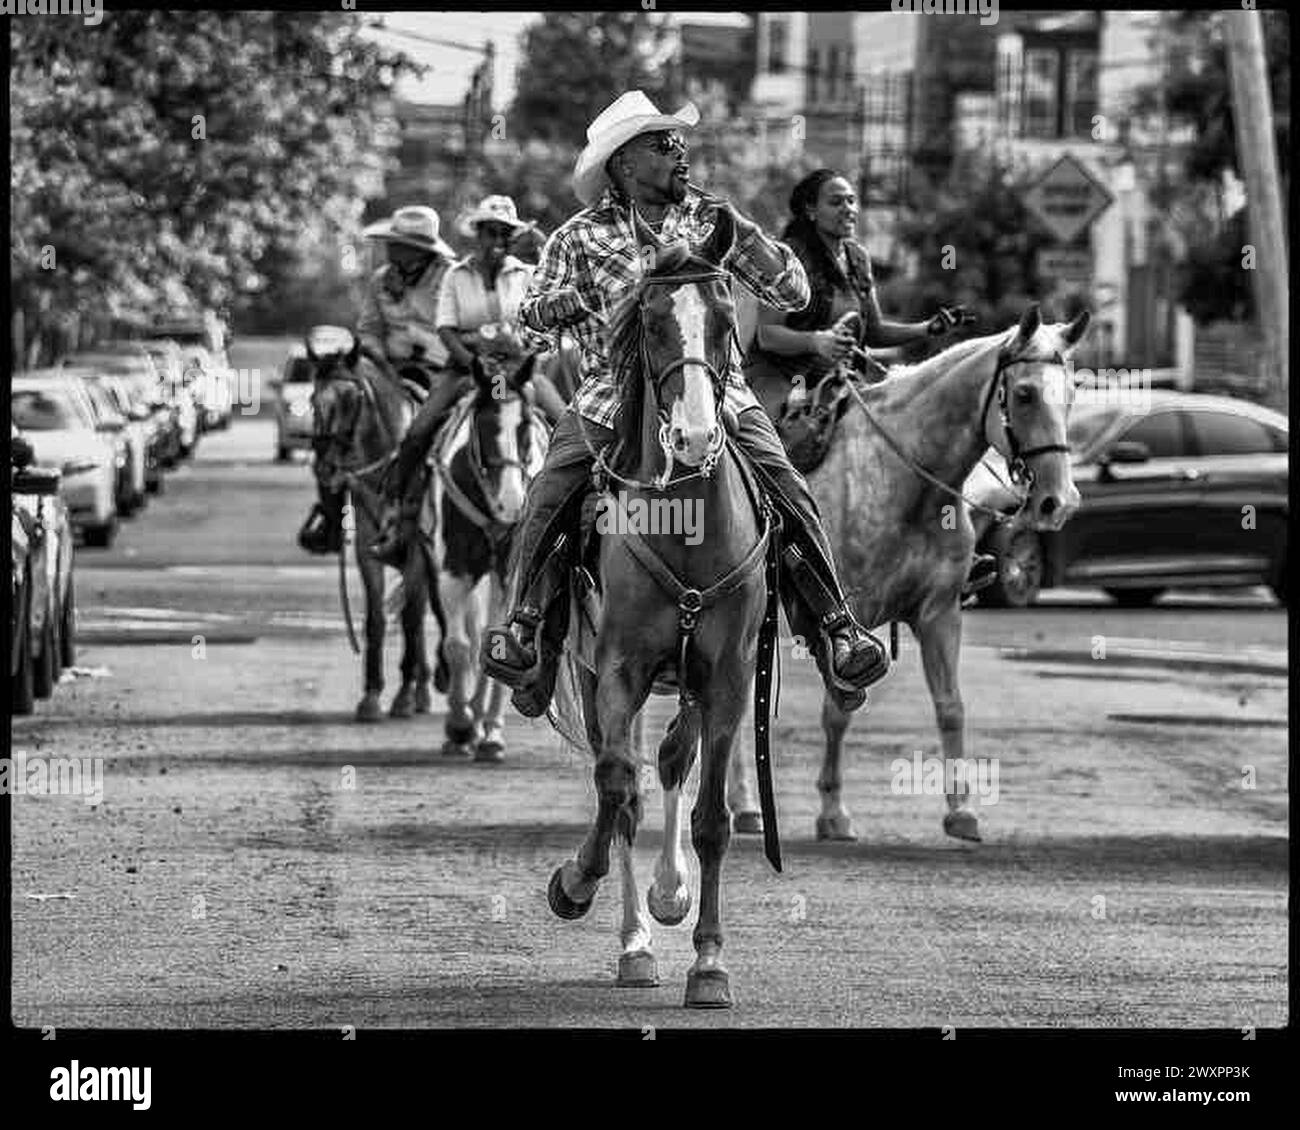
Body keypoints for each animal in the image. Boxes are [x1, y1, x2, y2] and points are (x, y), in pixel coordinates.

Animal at [310, 338, 447, 722]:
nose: (325, 467)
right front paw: (372, 695)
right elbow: (376, 619)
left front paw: (403, 695)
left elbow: (412, 620)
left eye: (351, 399)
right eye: (312, 400)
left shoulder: (417, 551)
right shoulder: (367, 550)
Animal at [733, 304, 1086, 842]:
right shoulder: (850, 614)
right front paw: (833, 812)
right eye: (1024, 393)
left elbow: (951, 707)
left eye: (1071, 394)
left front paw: (961, 811)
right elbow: (838, 711)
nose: (1058, 501)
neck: (909, 480)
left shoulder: (939, 613)